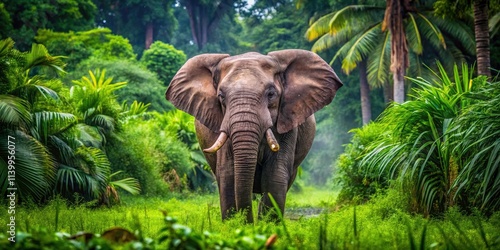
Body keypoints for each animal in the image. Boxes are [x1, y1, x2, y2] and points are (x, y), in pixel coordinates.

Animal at [166, 49, 342, 223]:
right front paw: (235, 224)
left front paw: (266, 225)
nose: (248, 222)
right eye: (221, 96)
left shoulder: (288, 123)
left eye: (271, 94)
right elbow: (228, 174)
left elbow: (274, 175)